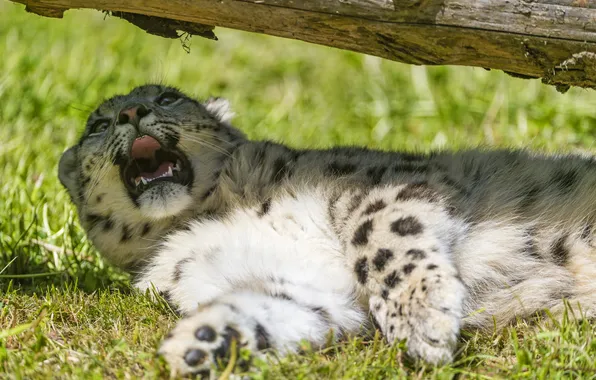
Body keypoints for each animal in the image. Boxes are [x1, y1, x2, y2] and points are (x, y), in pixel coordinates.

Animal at [58, 84, 596, 376]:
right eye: (97, 125)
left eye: (168, 96)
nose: (131, 112)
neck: (199, 215)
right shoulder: (304, 285)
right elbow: (274, 307)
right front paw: (200, 341)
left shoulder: (376, 185)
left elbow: (380, 238)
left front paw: (423, 321)